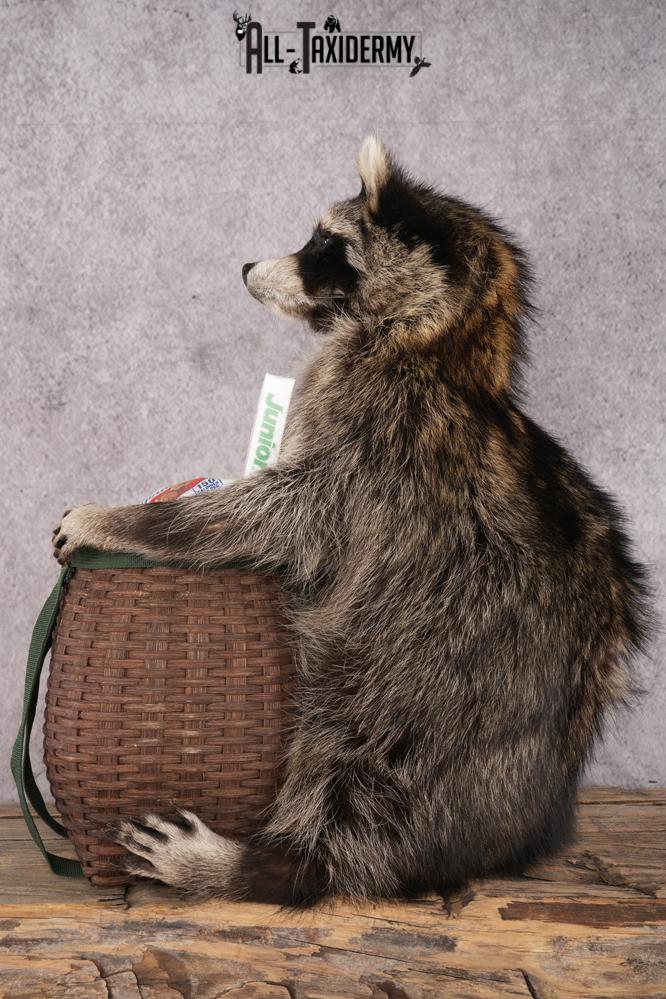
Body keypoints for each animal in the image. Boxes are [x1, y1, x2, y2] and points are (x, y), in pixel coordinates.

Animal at [53, 137, 650, 905]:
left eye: (324, 246)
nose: (246, 267)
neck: (438, 342)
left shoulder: (374, 444)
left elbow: (273, 514)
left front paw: (127, 519)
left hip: (418, 679)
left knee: (349, 763)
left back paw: (261, 864)